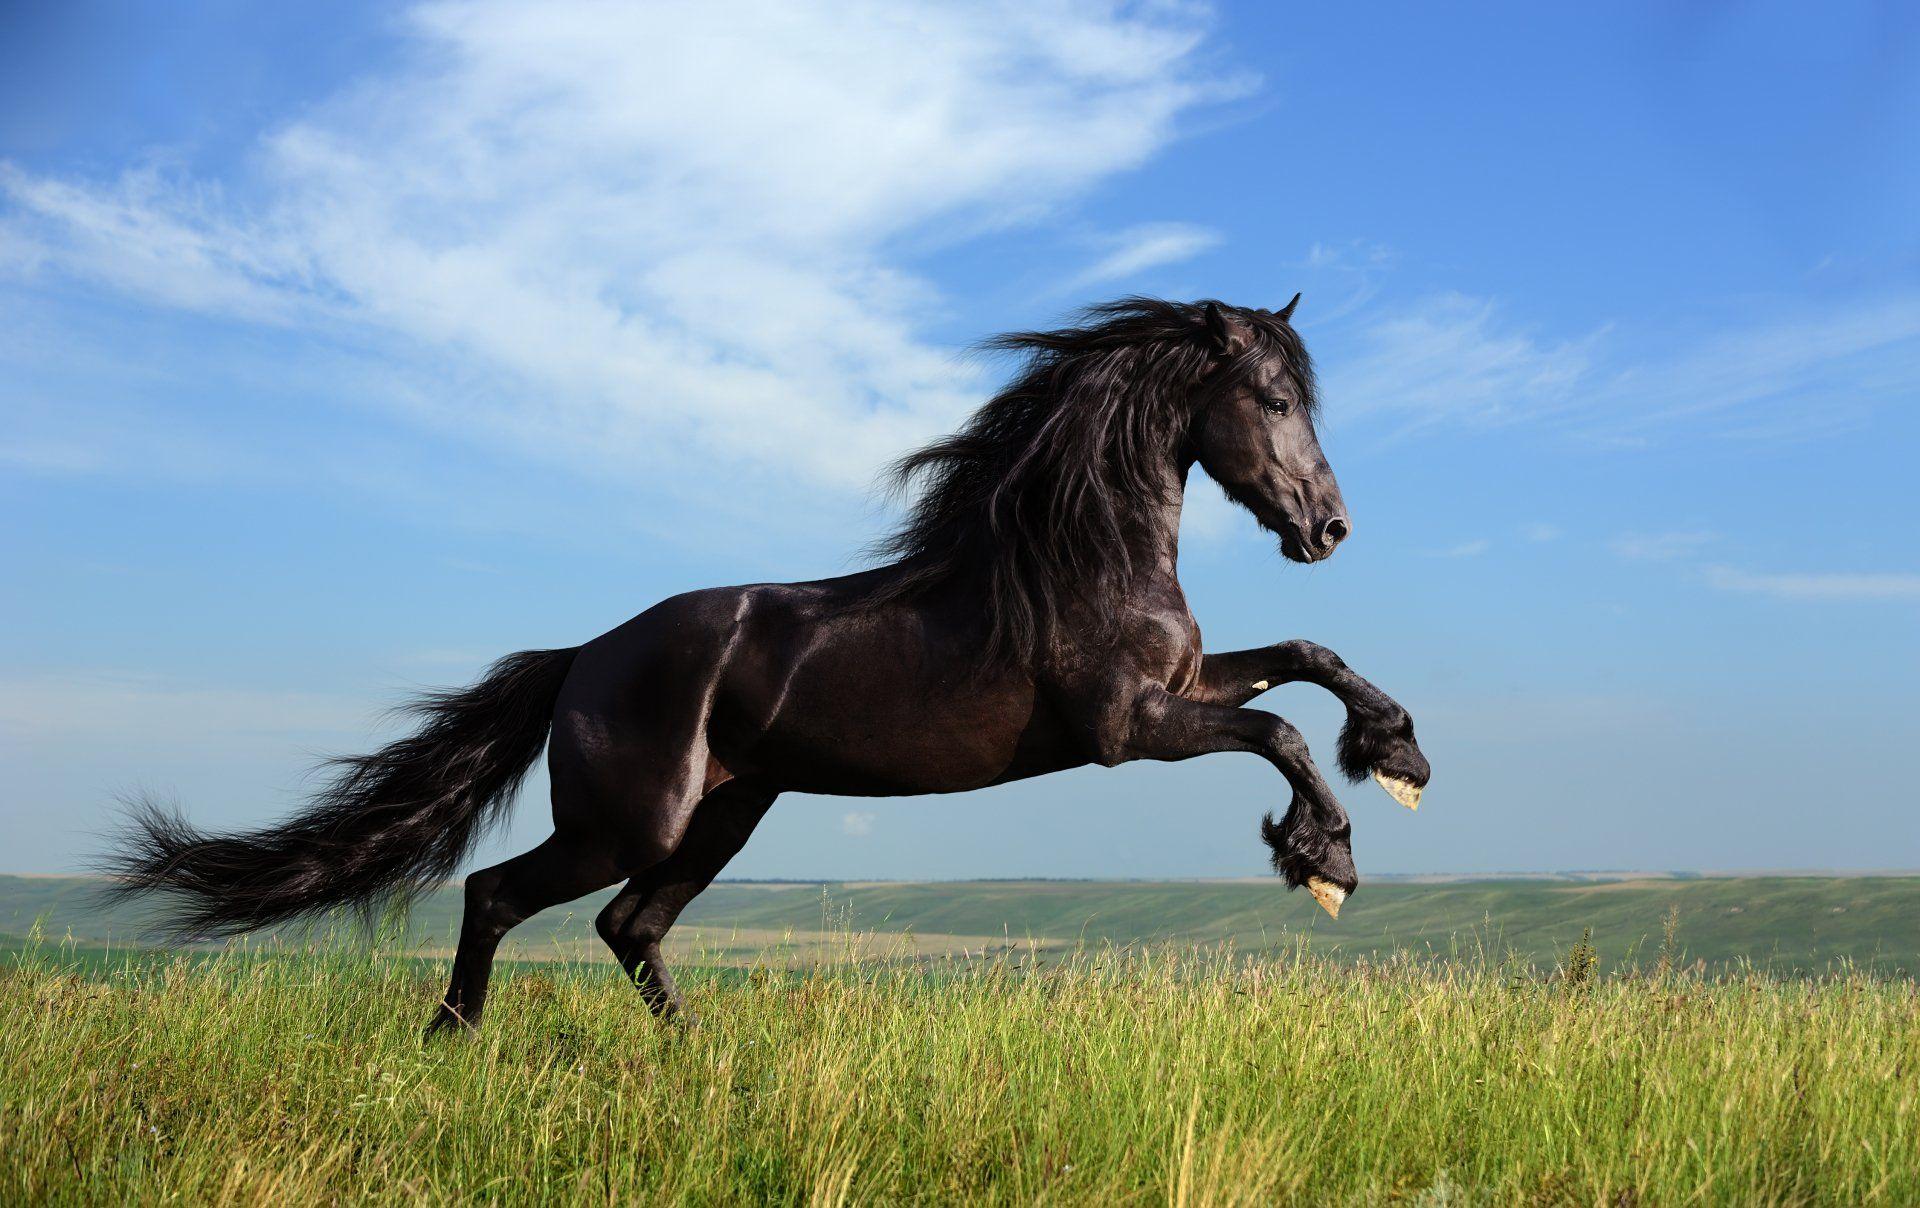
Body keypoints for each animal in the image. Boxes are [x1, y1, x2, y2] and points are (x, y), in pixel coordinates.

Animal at [105, 296, 1432, 1034]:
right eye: (1272, 397)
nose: (1327, 527)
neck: (1077, 554)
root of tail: (581, 658)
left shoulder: (1183, 686)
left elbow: (1306, 657)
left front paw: (1400, 755)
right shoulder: (1126, 726)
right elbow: (1279, 730)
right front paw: (1325, 858)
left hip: (728, 812)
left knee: (629, 925)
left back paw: (696, 1052)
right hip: (631, 818)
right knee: (501, 895)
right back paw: (453, 1038)